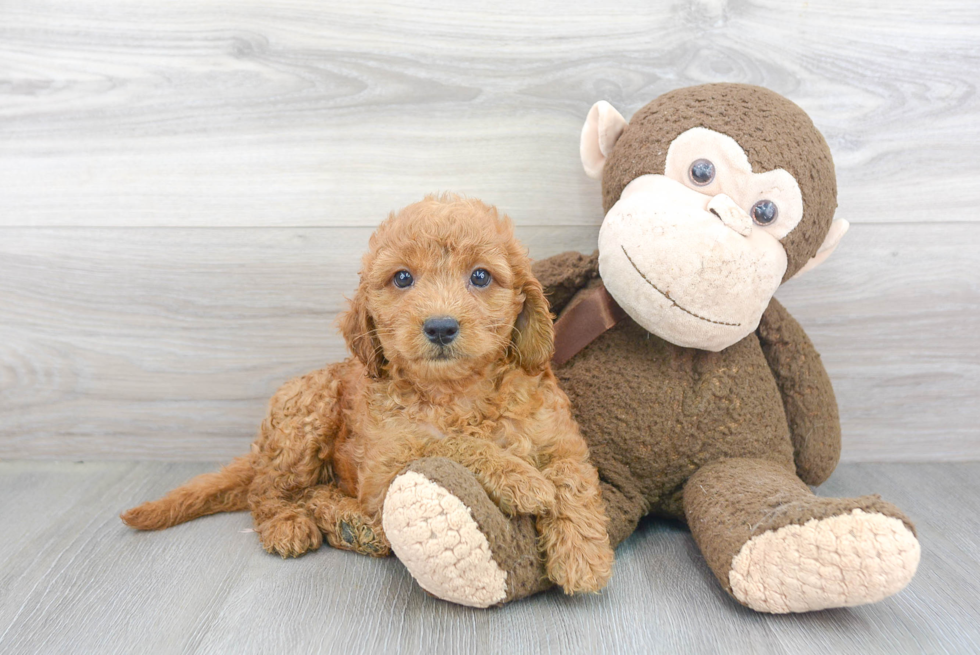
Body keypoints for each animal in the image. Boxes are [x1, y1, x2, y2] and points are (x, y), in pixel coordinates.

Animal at [120, 193, 612, 596]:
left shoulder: (558, 435)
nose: (440, 326)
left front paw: (583, 556)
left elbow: (573, 475)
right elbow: (449, 444)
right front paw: (521, 478)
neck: (458, 391)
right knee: (271, 491)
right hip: (308, 413)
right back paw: (299, 525)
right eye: (402, 278)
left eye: (480, 276)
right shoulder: (384, 471)